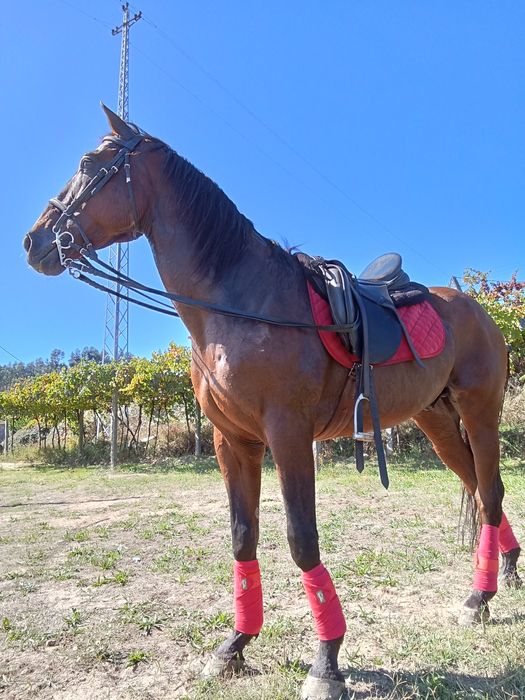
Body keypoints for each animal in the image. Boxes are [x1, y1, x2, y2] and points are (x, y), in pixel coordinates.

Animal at [23, 105, 521, 700]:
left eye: (88, 164)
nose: (34, 241)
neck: (238, 303)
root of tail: (479, 311)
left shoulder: (288, 436)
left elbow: (301, 540)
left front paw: (327, 661)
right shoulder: (232, 441)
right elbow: (244, 539)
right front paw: (234, 646)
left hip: (479, 411)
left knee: (490, 492)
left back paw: (480, 597)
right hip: (437, 421)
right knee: (480, 489)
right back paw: (504, 571)